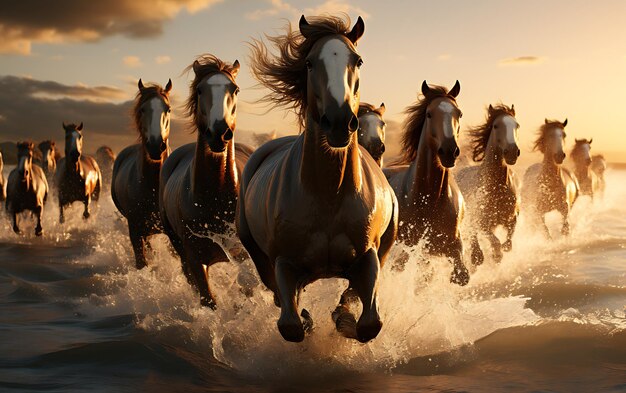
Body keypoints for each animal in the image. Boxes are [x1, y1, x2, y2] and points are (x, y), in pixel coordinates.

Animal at [158, 54, 254, 306]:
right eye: (200, 90)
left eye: (235, 89)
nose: (219, 133)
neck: (216, 196)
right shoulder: (194, 259)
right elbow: (208, 300)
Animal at [239, 13, 394, 342]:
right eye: (310, 63)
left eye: (358, 60)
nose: (338, 122)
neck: (329, 194)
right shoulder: (283, 262)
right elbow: (291, 326)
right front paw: (309, 321)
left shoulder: (369, 257)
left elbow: (369, 324)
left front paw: (343, 320)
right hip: (256, 252)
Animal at [380, 81, 468, 284]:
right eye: (429, 114)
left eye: (459, 113)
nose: (449, 151)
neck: (431, 201)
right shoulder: (411, 248)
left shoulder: (450, 244)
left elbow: (461, 274)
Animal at [454, 103, 520, 264]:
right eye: (496, 126)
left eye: (517, 125)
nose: (512, 152)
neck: (497, 188)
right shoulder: (483, 224)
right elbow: (495, 242)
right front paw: (496, 255)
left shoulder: (511, 218)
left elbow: (509, 239)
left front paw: (503, 250)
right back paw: (477, 256)